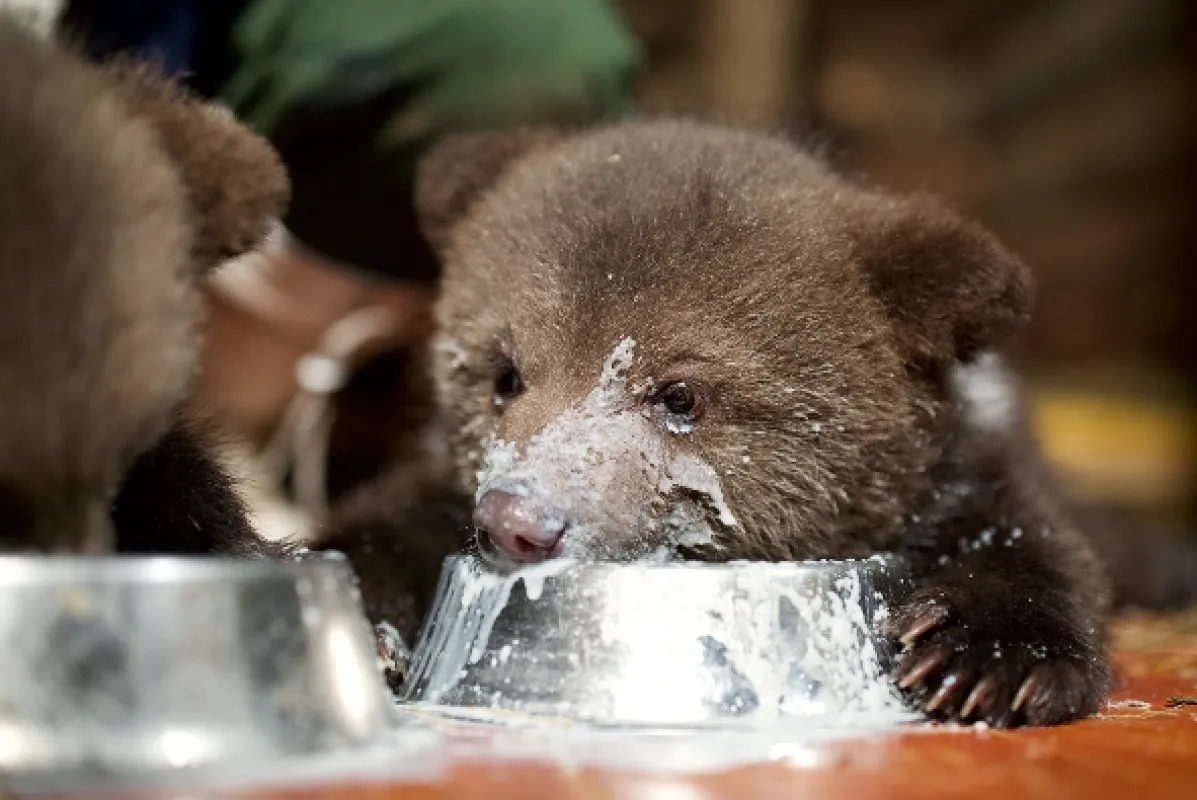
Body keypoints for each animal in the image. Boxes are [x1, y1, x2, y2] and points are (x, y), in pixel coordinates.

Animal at [310, 118, 1121, 729]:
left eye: (680, 396)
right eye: (504, 374)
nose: (517, 519)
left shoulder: (972, 469)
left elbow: (1038, 545)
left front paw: (981, 658)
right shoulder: (439, 483)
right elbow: (380, 528)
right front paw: (358, 628)